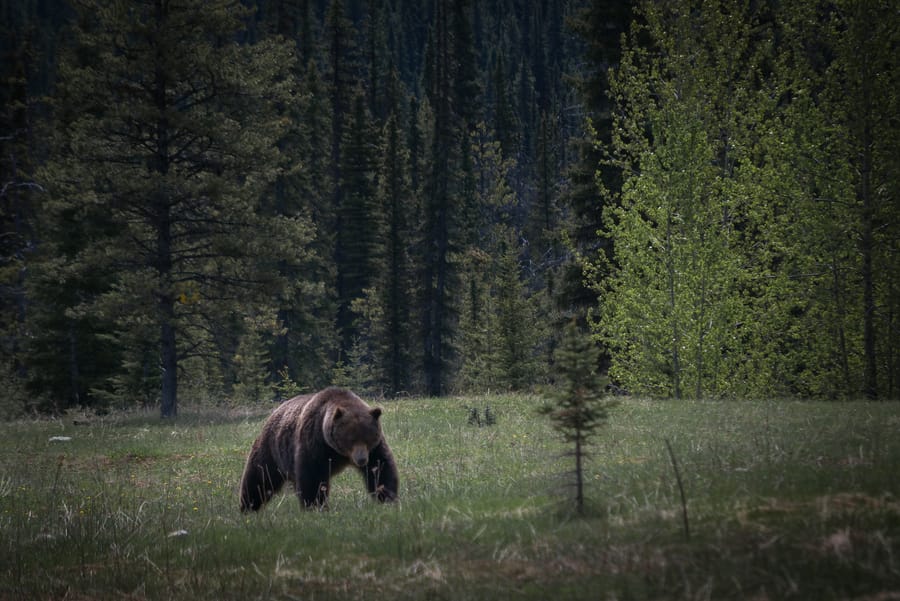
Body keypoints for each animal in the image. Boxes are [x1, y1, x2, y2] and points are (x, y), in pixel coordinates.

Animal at [239, 386, 398, 508]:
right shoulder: (315, 442)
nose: (361, 460)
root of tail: (275, 411)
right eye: (350, 439)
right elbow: (312, 476)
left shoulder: (375, 448)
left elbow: (381, 467)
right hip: (272, 449)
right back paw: (248, 506)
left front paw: (387, 497)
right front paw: (316, 505)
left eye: (368, 438)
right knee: (259, 478)